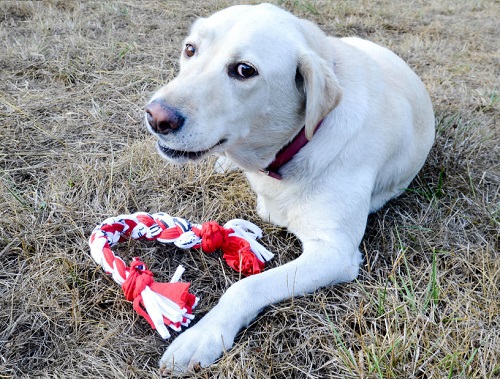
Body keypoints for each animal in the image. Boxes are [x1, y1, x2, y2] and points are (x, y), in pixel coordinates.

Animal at [145, 1, 434, 372]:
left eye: (244, 70)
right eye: (190, 49)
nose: (156, 116)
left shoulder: (334, 251)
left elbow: (246, 287)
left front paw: (202, 335)